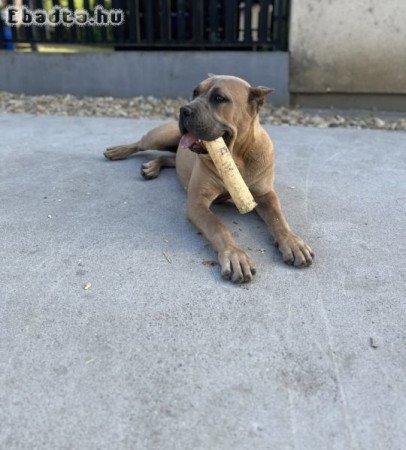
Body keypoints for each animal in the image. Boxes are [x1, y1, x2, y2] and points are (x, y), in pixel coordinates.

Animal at [104, 75, 314, 284]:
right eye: (195, 92)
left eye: (220, 98)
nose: (183, 109)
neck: (236, 157)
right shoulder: (198, 203)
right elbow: (218, 226)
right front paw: (235, 255)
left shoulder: (265, 195)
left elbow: (278, 218)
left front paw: (292, 241)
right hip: (160, 137)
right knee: (139, 144)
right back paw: (118, 151)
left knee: (169, 158)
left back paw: (152, 166)